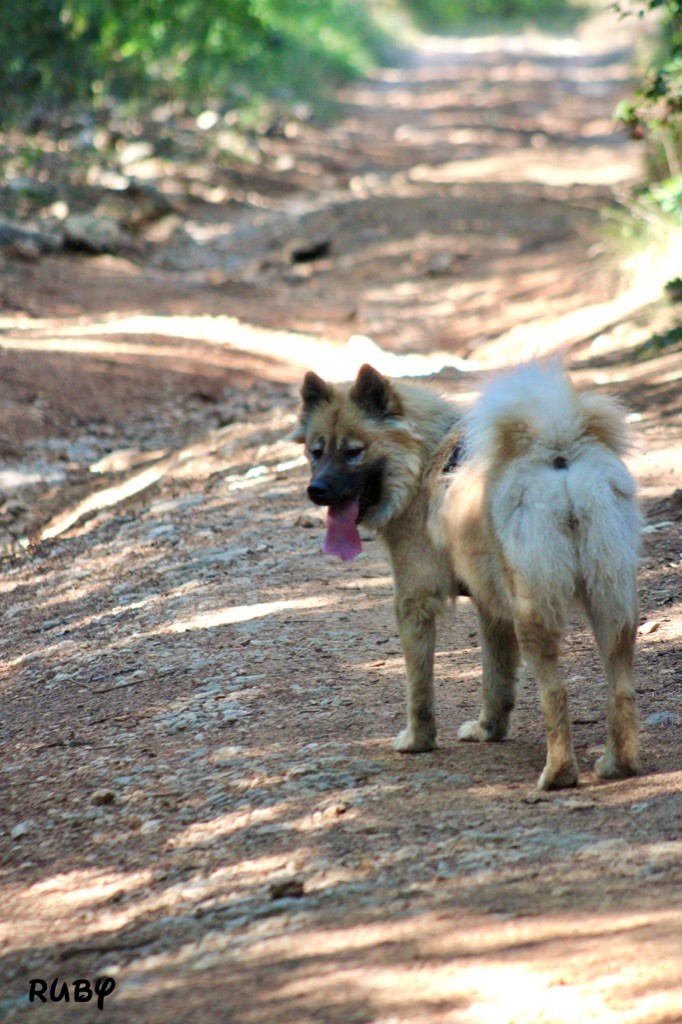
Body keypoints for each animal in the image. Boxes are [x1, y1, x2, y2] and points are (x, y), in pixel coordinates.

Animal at [290, 362, 638, 790]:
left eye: (354, 452)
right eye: (315, 451)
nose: (316, 490)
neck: (422, 459)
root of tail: (558, 453)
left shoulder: (415, 599)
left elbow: (419, 686)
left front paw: (417, 740)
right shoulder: (491, 606)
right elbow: (496, 678)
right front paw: (490, 729)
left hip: (535, 613)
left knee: (555, 693)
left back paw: (557, 774)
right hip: (611, 604)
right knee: (620, 689)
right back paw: (617, 764)